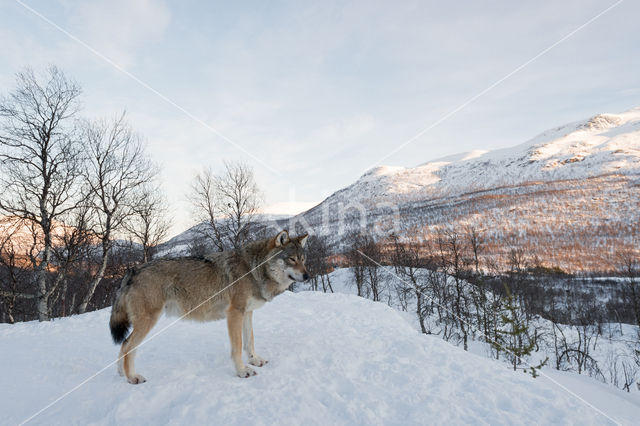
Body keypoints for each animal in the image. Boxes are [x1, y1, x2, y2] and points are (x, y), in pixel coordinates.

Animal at [109, 231, 308, 384]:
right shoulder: (234, 313)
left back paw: (121, 374)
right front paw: (242, 371)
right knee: (128, 346)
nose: (307, 276)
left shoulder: (247, 312)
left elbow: (249, 341)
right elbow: (238, 346)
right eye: (291, 259)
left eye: (303, 259)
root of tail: (132, 271)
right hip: (148, 321)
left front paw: (254, 360)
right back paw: (132, 377)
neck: (253, 269)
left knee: (124, 344)